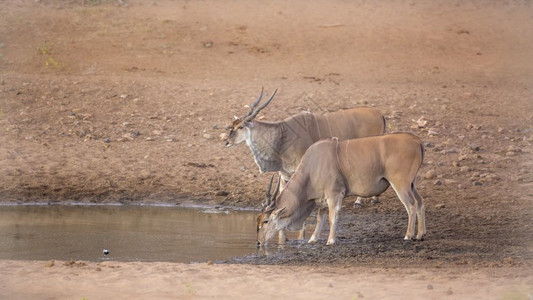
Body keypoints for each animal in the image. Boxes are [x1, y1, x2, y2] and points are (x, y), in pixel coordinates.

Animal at [225, 89, 386, 244]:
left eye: (240, 127)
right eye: (232, 126)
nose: (227, 142)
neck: (282, 136)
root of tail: (380, 114)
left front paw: (301, 235)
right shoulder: (284, 175)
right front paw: (283, 239)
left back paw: (361, 200)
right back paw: (374, 198)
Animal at [256, 133, 426, 246]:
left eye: (265, 221)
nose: (258, 242)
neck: (312, 167)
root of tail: (416, 140)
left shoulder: (335, 194)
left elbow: (333, 217)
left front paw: (331, 240)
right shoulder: (323, 199)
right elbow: (320, 218)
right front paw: (313, 239)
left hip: (401, 184)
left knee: (411, 205)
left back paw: (408, 236)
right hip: (412, 184)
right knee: (420, 202)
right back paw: (420, 235)